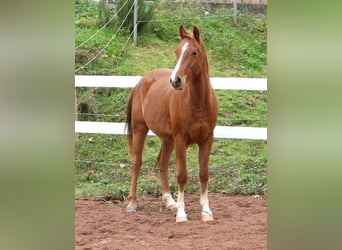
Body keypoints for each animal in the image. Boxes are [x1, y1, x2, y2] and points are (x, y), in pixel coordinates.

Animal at [125, 24, 216, 221]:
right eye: (177, 51)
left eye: (194, 52)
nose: (175, 80)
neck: (198, 103)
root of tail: (142, 81)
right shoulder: (180, 139)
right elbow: (182, 175)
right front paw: (182, 214)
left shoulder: (207, 140)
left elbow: (204, 174)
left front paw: (206, 212)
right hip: (140, 130)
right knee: (137, 162)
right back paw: (132, 203)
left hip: (168, 139)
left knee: (162, 162)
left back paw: (169, 201)